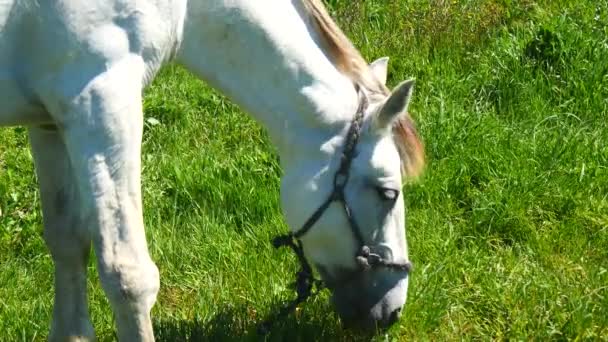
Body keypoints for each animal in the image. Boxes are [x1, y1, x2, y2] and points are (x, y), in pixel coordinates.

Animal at [1, 0, 422, 340]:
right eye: (388, 192)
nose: (392, 311)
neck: (183, 8)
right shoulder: (101, 104)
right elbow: (128, 275)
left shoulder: (50, 123)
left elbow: (67, 241)